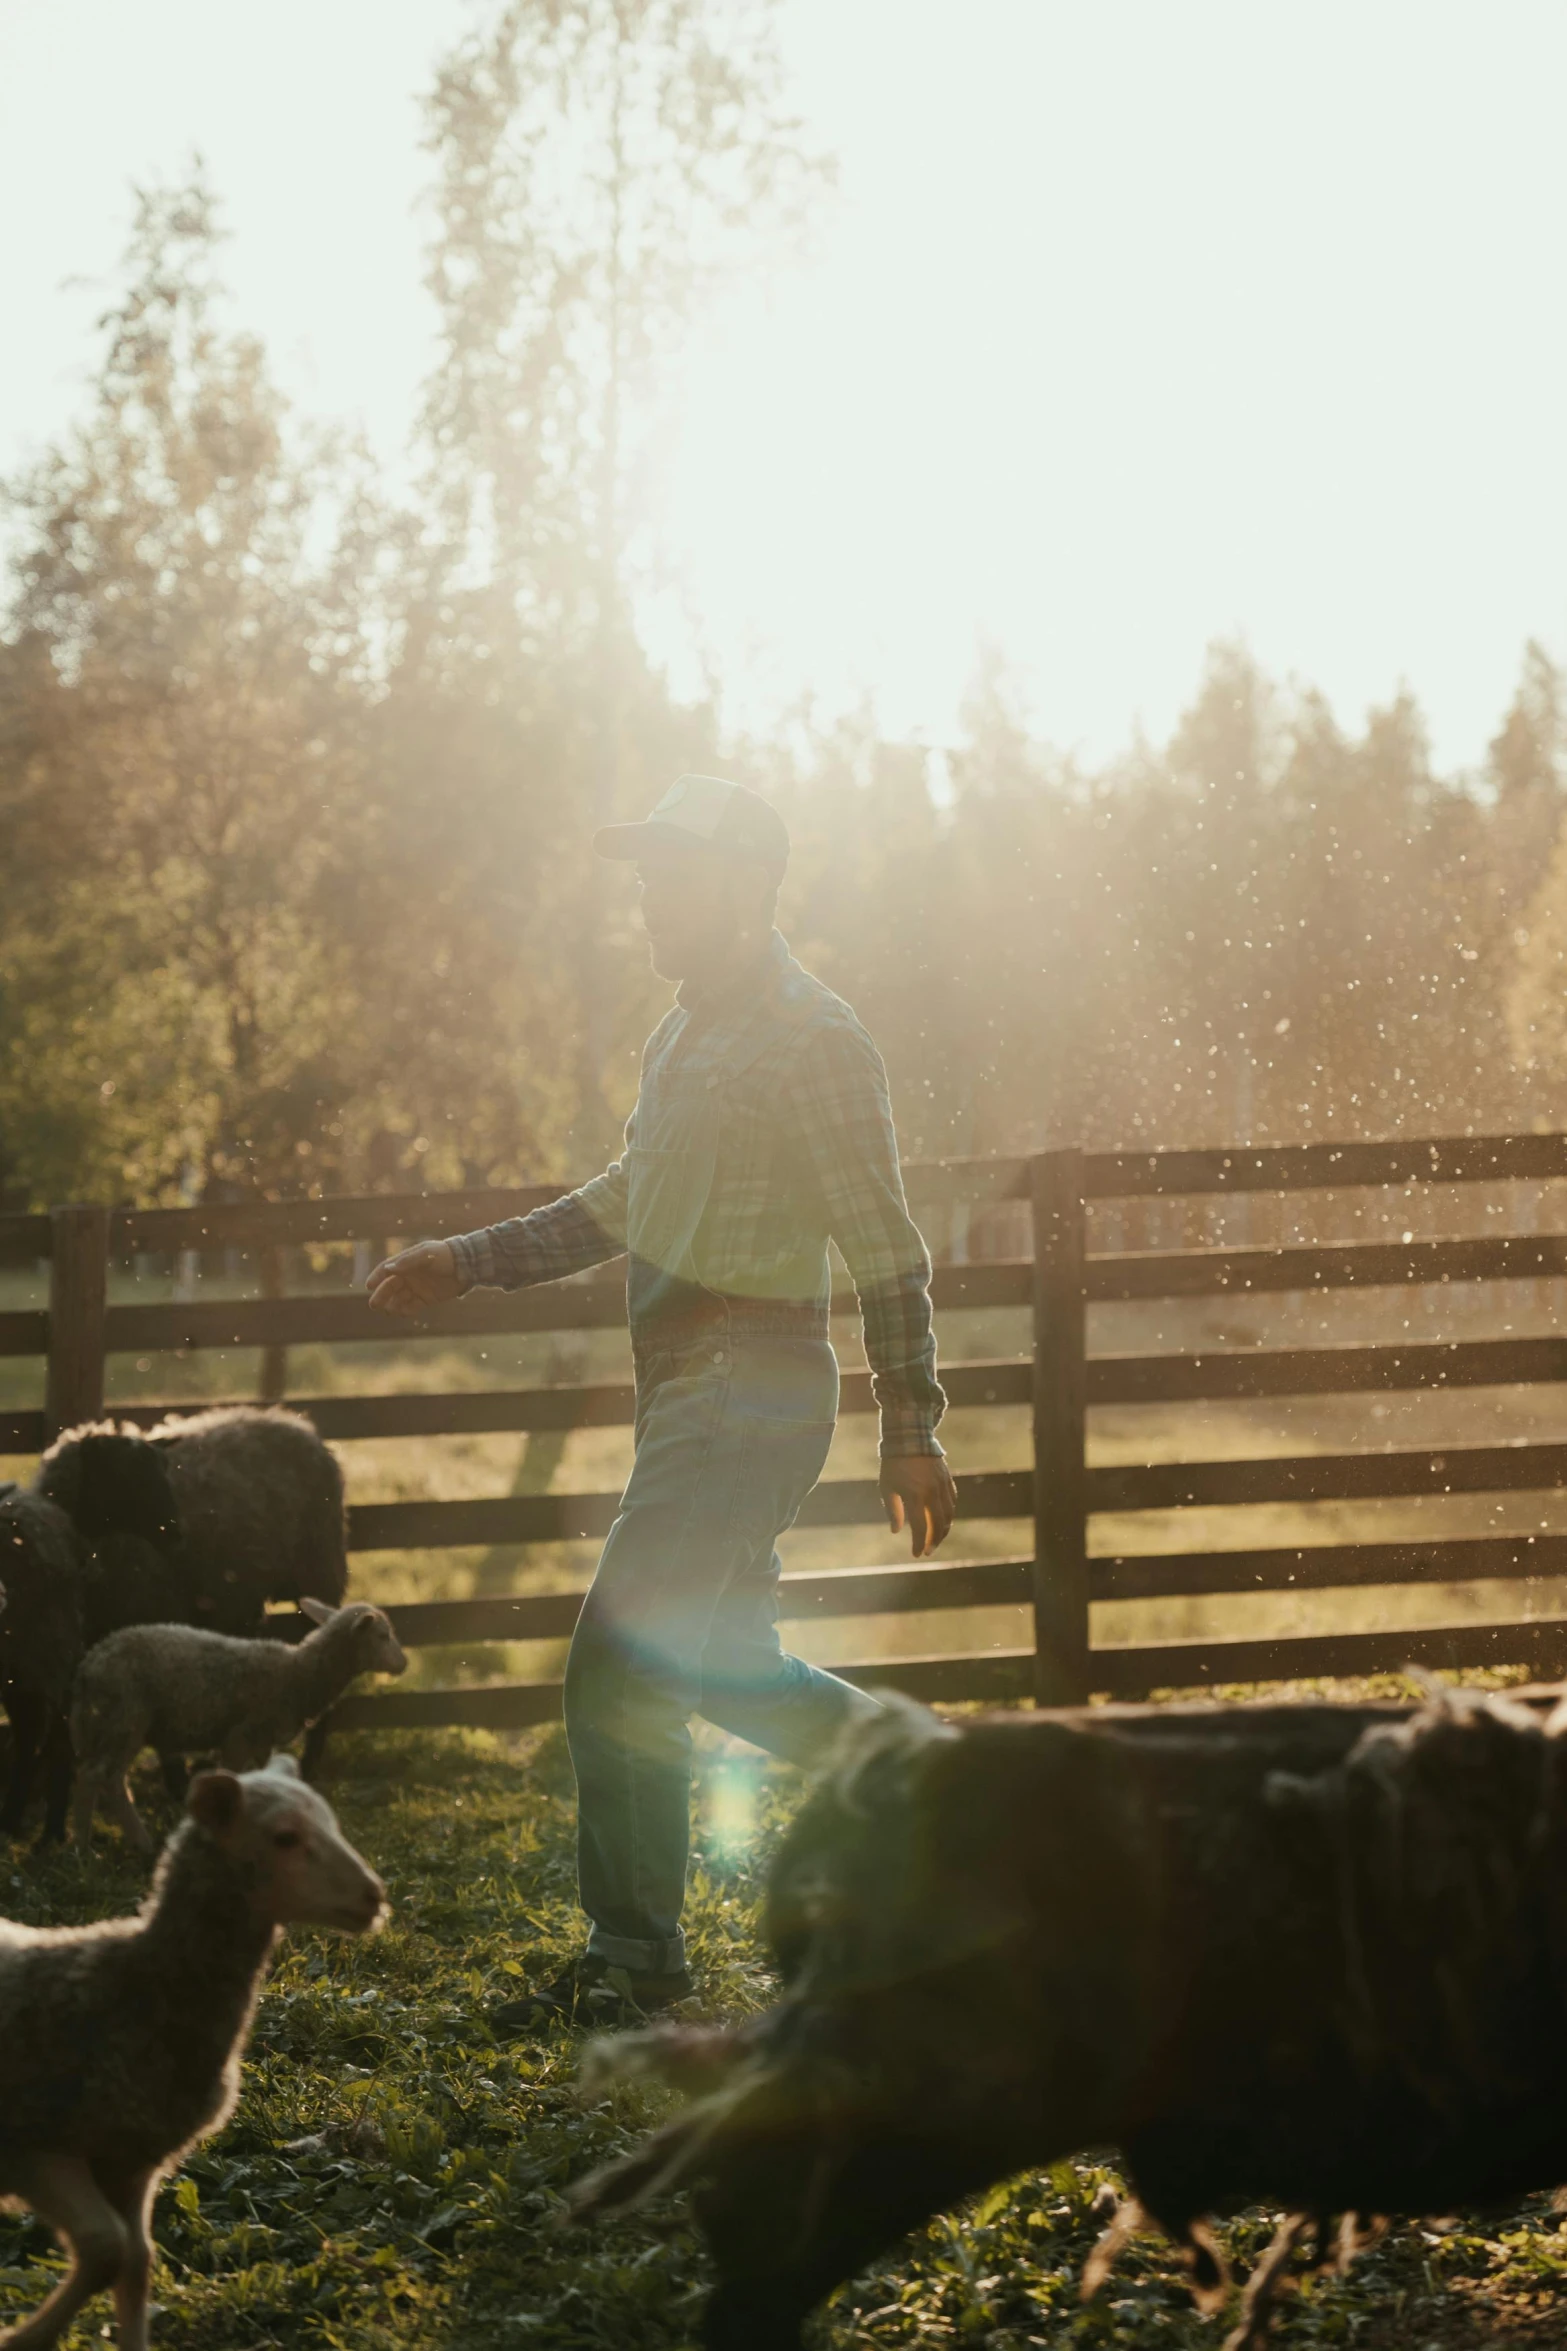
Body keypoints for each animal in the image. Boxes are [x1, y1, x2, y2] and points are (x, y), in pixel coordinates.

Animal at [0, 1758, 382, 2351]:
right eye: (284, 1837)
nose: (374, 1897)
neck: (141, 1983)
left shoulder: (133, 2162)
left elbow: (136, 2263)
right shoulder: (34, 2146)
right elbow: (106, 2248)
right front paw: (20, 2337)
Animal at [72, 1598, 404, 1852]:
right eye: (382, 1635)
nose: (404, 1664)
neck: (298, 1674)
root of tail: (90, 1664)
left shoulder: (263, 1740)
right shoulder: (239, 1736)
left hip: (106, 1723)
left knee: (93, 1775)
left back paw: (84, 1845)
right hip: (127, 1718)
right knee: (103, 1777)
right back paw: (129, 1845)